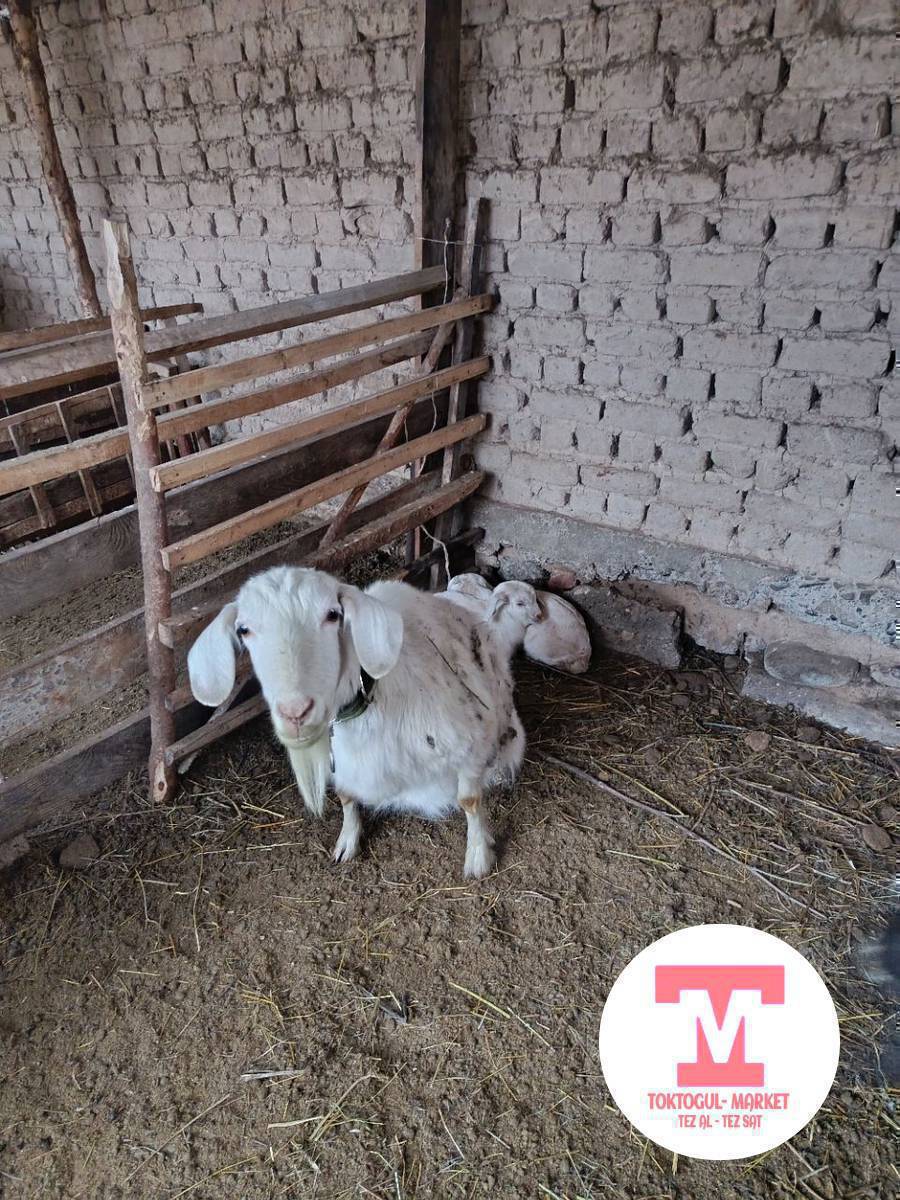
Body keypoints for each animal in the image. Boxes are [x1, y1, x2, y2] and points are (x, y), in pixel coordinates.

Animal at [187, 566, 525, 878]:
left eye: (332, 615)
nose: (295, 712)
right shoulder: (342, 764)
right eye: (243, 629)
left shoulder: (470, 742)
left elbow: (469, 800)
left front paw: (478, 857)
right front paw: (347, 842)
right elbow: (346, 796)